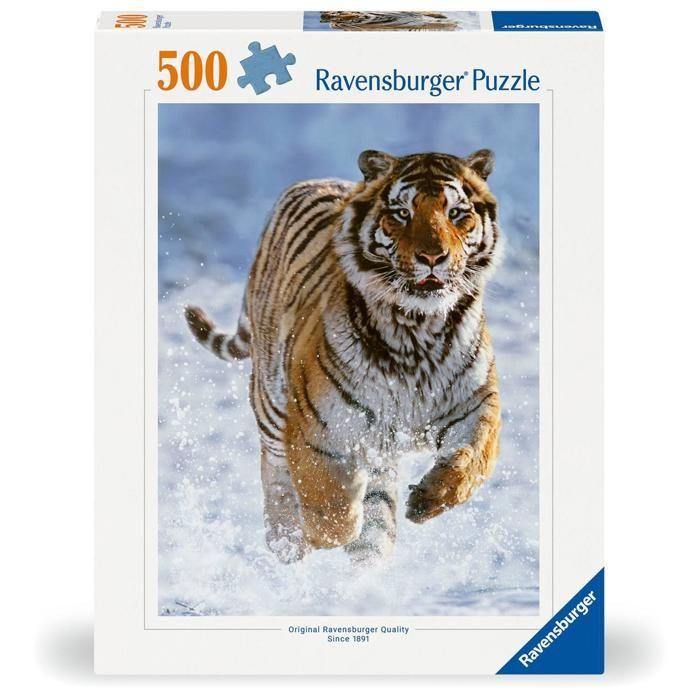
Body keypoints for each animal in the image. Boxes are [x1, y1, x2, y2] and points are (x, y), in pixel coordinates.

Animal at [185, 149, 503, 565]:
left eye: (455, 213)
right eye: (402, 213)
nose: (433, 256)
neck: (417, 329)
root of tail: (312, 181)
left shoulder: (476, 403)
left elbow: (472, 460)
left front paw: (427, 500)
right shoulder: (318, 429)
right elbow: (332, 514)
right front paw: (314, 534)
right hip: (271, 405)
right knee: (275, 475)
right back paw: (286, 542)